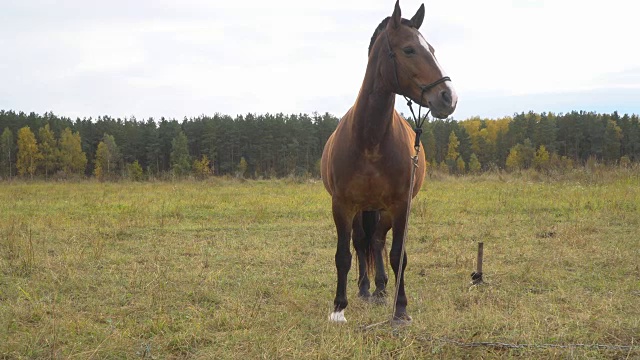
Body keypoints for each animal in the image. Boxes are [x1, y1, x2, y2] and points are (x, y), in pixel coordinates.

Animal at [322, 0, 458, 324]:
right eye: (409, 49)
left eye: (432, 49)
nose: (448, 97)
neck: (370, 140)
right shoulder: (342, 205)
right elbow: (343, 255)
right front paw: (338, 308)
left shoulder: (400, 205)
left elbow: (398, 255)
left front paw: (401, 308)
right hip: (361, 209)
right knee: (362, 242)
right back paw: (364, 288)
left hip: (381, 210)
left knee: (376, 241)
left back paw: (382, 288)